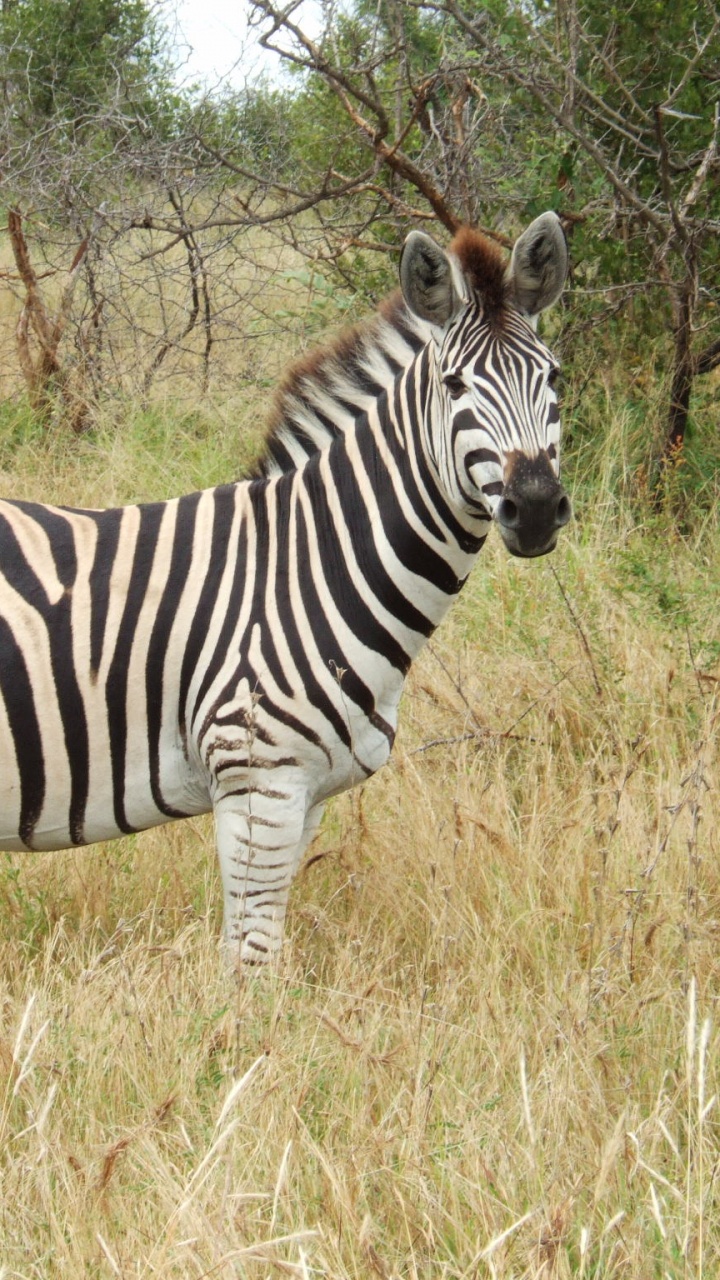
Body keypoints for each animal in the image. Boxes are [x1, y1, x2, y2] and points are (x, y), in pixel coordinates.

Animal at [0, 211, 570, 964]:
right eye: (453, 386)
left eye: (553, 376)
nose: (532, 508)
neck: (309, 565)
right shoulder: (258, 781)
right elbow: (252, 957)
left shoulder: (308, 794)